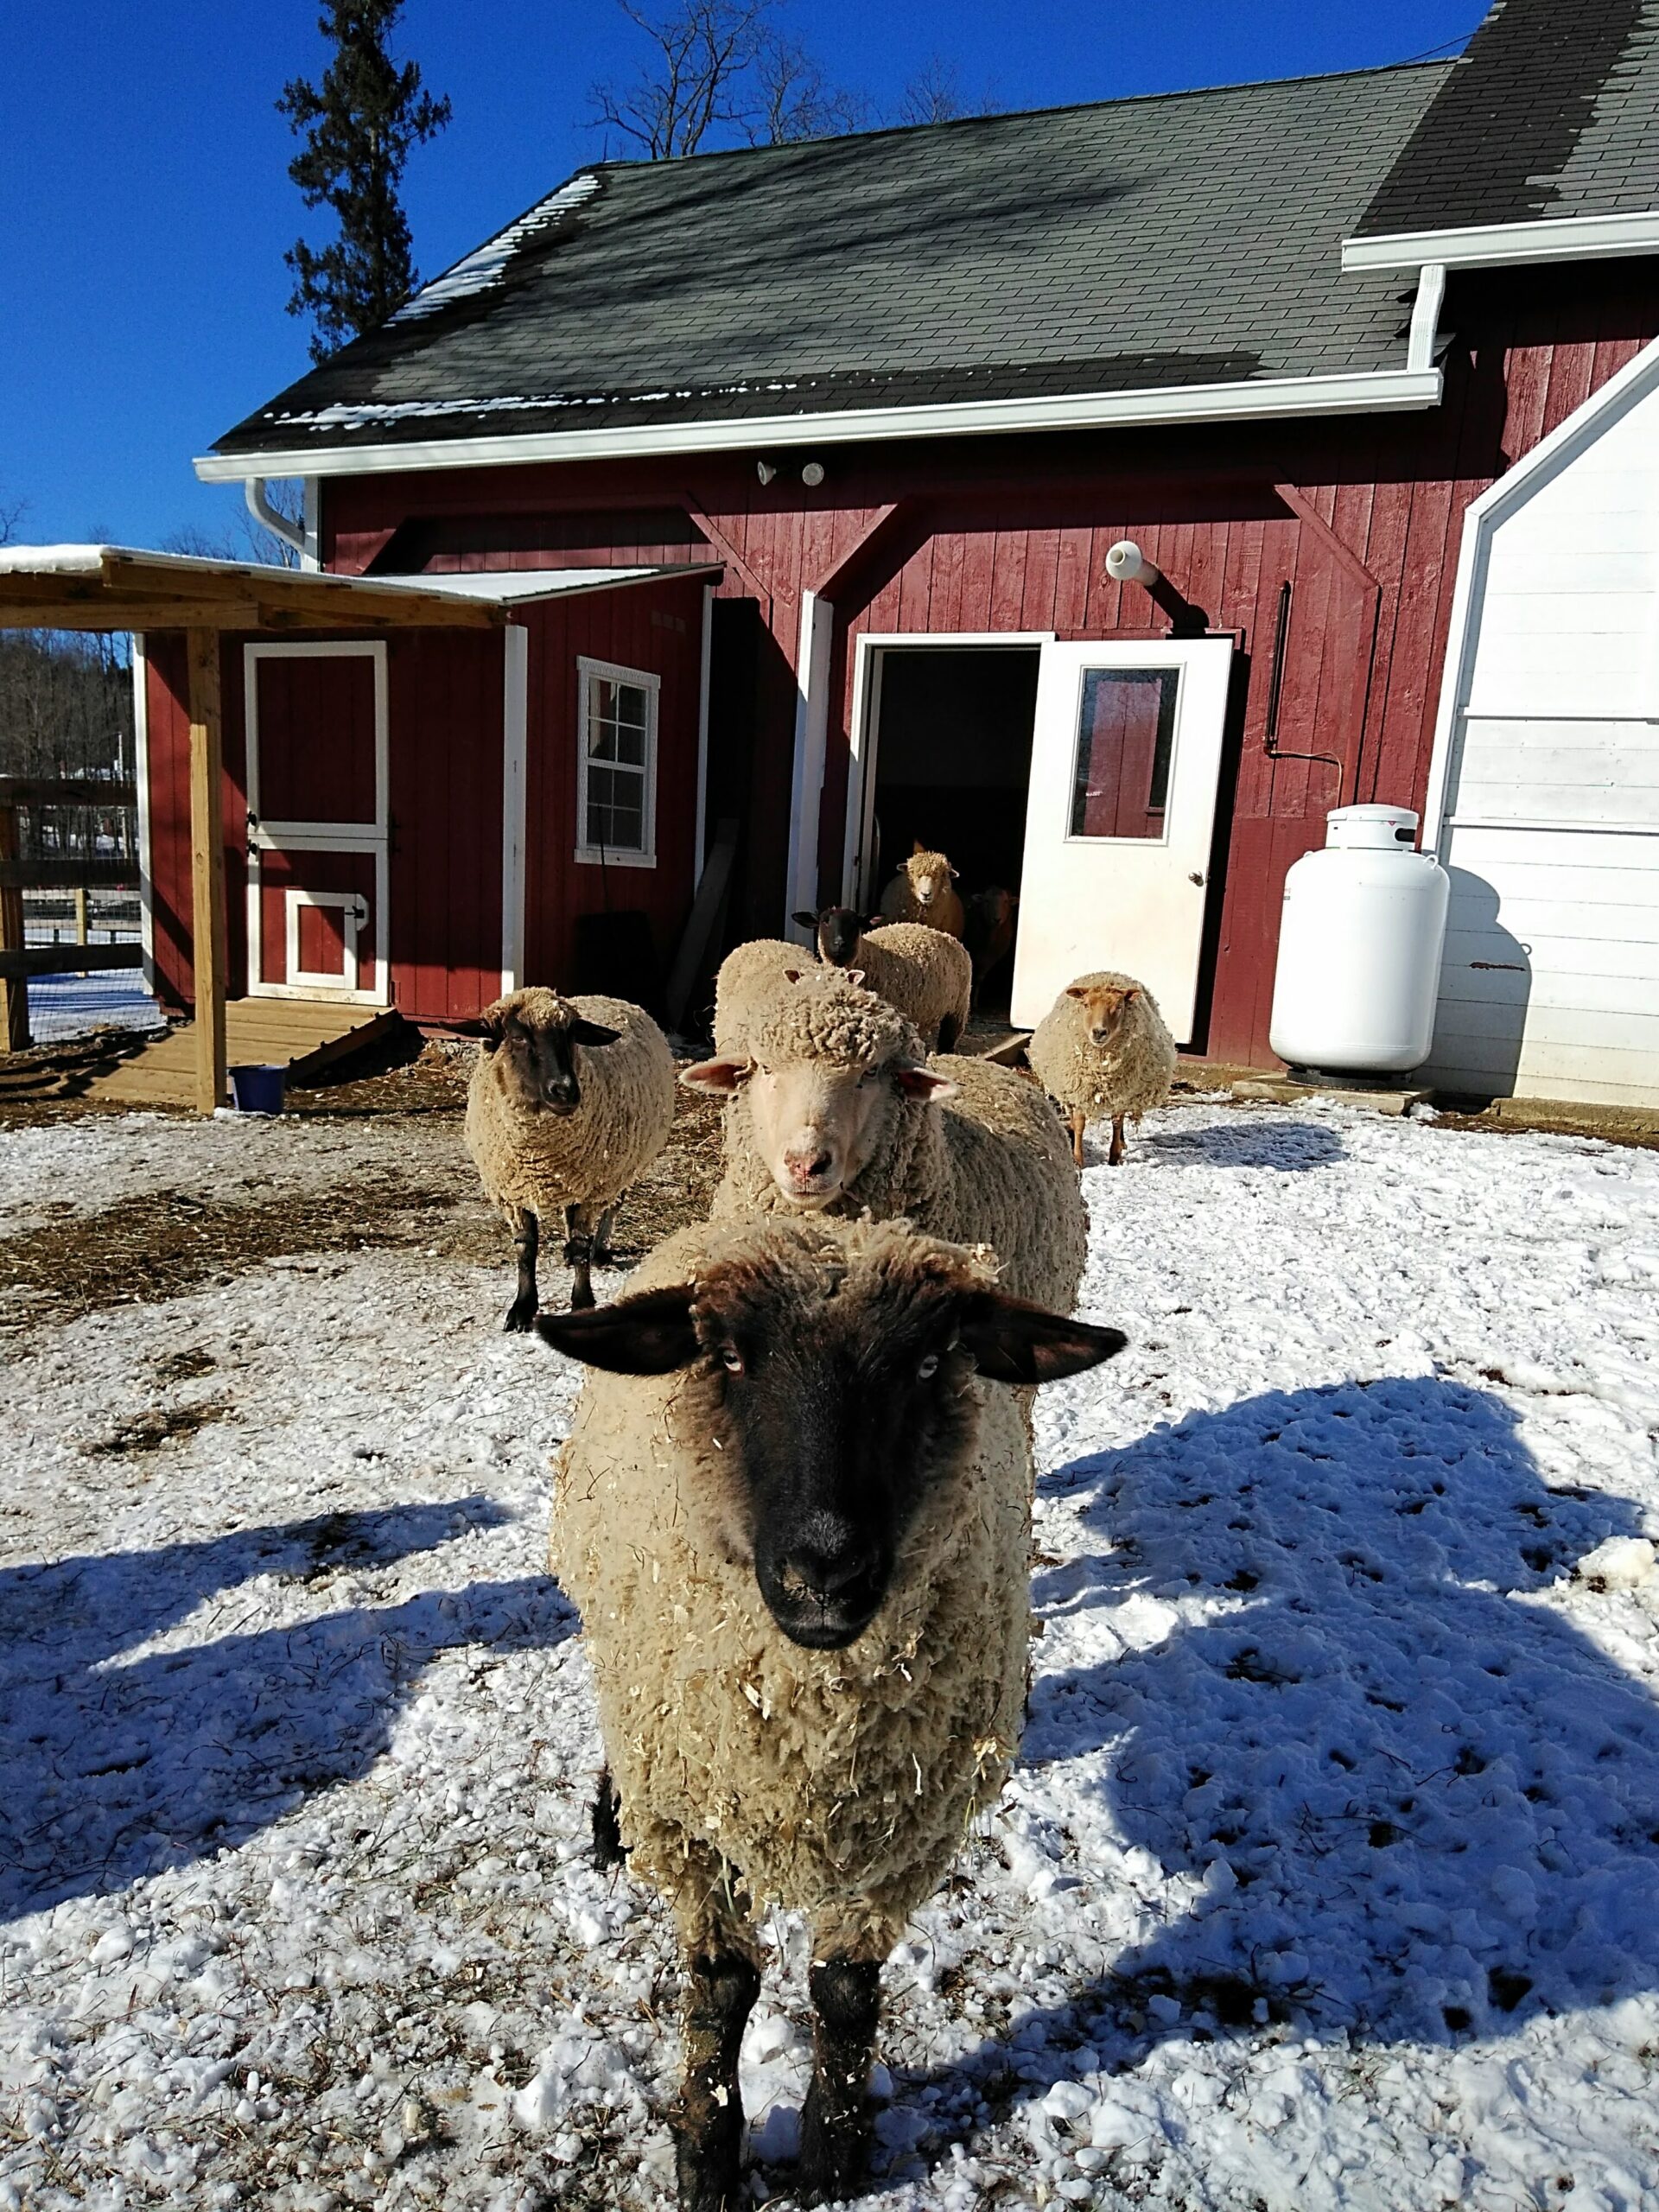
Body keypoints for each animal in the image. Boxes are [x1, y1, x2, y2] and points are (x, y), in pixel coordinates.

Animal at [463, 986, 674, 1325]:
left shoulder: (590, 1187)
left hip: (622, 1167)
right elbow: (526, 1248)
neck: (537, 1156)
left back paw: (600, 1250)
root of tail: (614, 998)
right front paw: (523, 1307)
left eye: (572, 1036)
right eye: (517, 1037)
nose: (565, 1091)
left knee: (613, 1206)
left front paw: (582, 1300)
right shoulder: (512, 1192)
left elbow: (579, 1245)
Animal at [539, 1213, 1126, 2207]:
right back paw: (608, 1825)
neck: (813, 1728)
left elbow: (845, 1992)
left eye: (928, 1363)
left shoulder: (908, 1824)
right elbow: (721, 1986)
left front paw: (831, 2153)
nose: (824, 1572)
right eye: (730, 1357)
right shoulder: (695, 1815)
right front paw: (707, 2154)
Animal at [1027, 969, 1177, 1168]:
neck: (1102, 1070)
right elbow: (1080, 1123)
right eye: (1086, 1004)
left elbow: (1117, 1123)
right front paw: (1078, 1159)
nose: (1099, 1032)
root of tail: (1110, 973)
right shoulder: (1080, 1090)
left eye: (1120, 1007)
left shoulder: (1122, 1092)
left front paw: (1114, 1156)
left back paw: (1122, 1142)